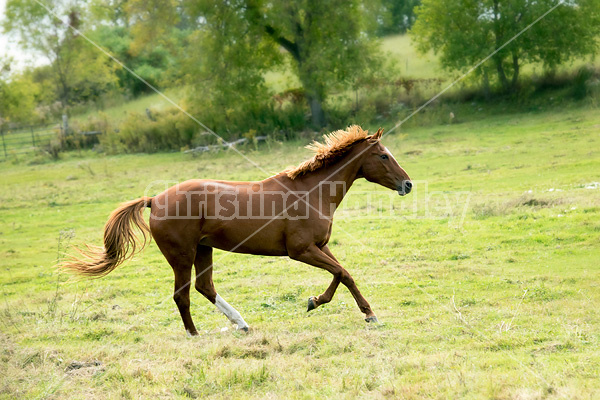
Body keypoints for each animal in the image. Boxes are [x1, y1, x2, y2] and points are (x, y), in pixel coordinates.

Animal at [63, 126, 410, 334]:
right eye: (383, 155)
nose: (408, 184)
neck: (312, 191)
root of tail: (155, 199)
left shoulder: (320, 246)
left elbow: (344, 274)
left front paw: (363, 312)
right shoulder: (301, 251)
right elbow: (340, 272)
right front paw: (318, 302)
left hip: (203, 249)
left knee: (204, 287)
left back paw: (242, 324)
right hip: (182, 255)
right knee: (182, 294)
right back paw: (195, 334)